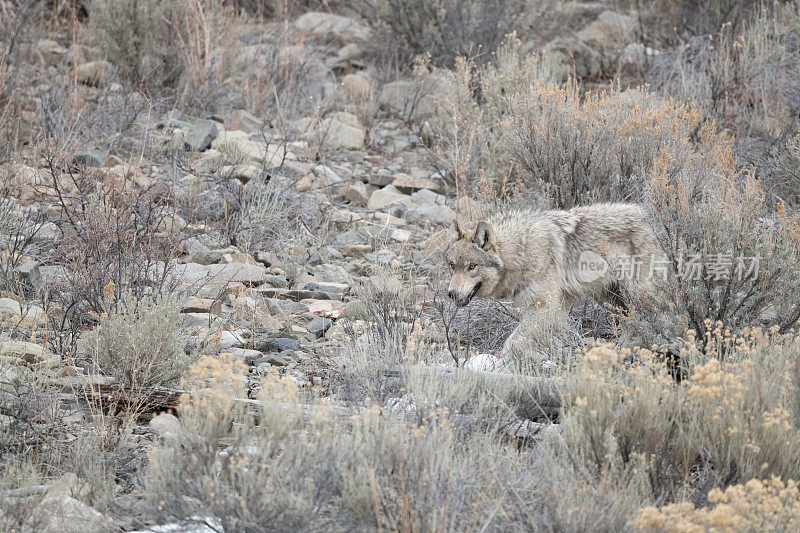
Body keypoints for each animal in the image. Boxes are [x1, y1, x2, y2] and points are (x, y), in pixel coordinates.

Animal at [444, 203, 664, 358]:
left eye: (472, 266)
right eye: (453, 266)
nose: (451, 294)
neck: (520, 251)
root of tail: (647, 216)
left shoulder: (545, 306)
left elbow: (513, 341)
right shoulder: (547, 309)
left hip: (635, 294)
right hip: (610, 299)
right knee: (631, 324)